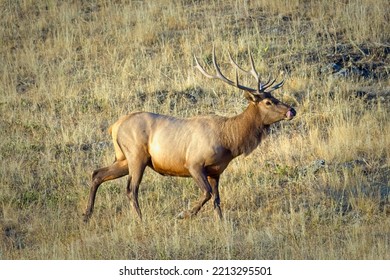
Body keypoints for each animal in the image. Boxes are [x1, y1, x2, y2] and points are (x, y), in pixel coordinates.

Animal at [83, 47, 296, 222]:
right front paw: (184, 214)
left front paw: (221, 223)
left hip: (123, 158)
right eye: (268, 102)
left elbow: (217, 199)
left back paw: (87, 215)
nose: (291, 110)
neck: (229, 140)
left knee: (97, 173)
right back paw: (140, 220)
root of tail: (114, 126)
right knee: (131, 189)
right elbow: (207, 194)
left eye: (274, 96)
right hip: (136, 155)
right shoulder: (194, 163)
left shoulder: (216, 171)